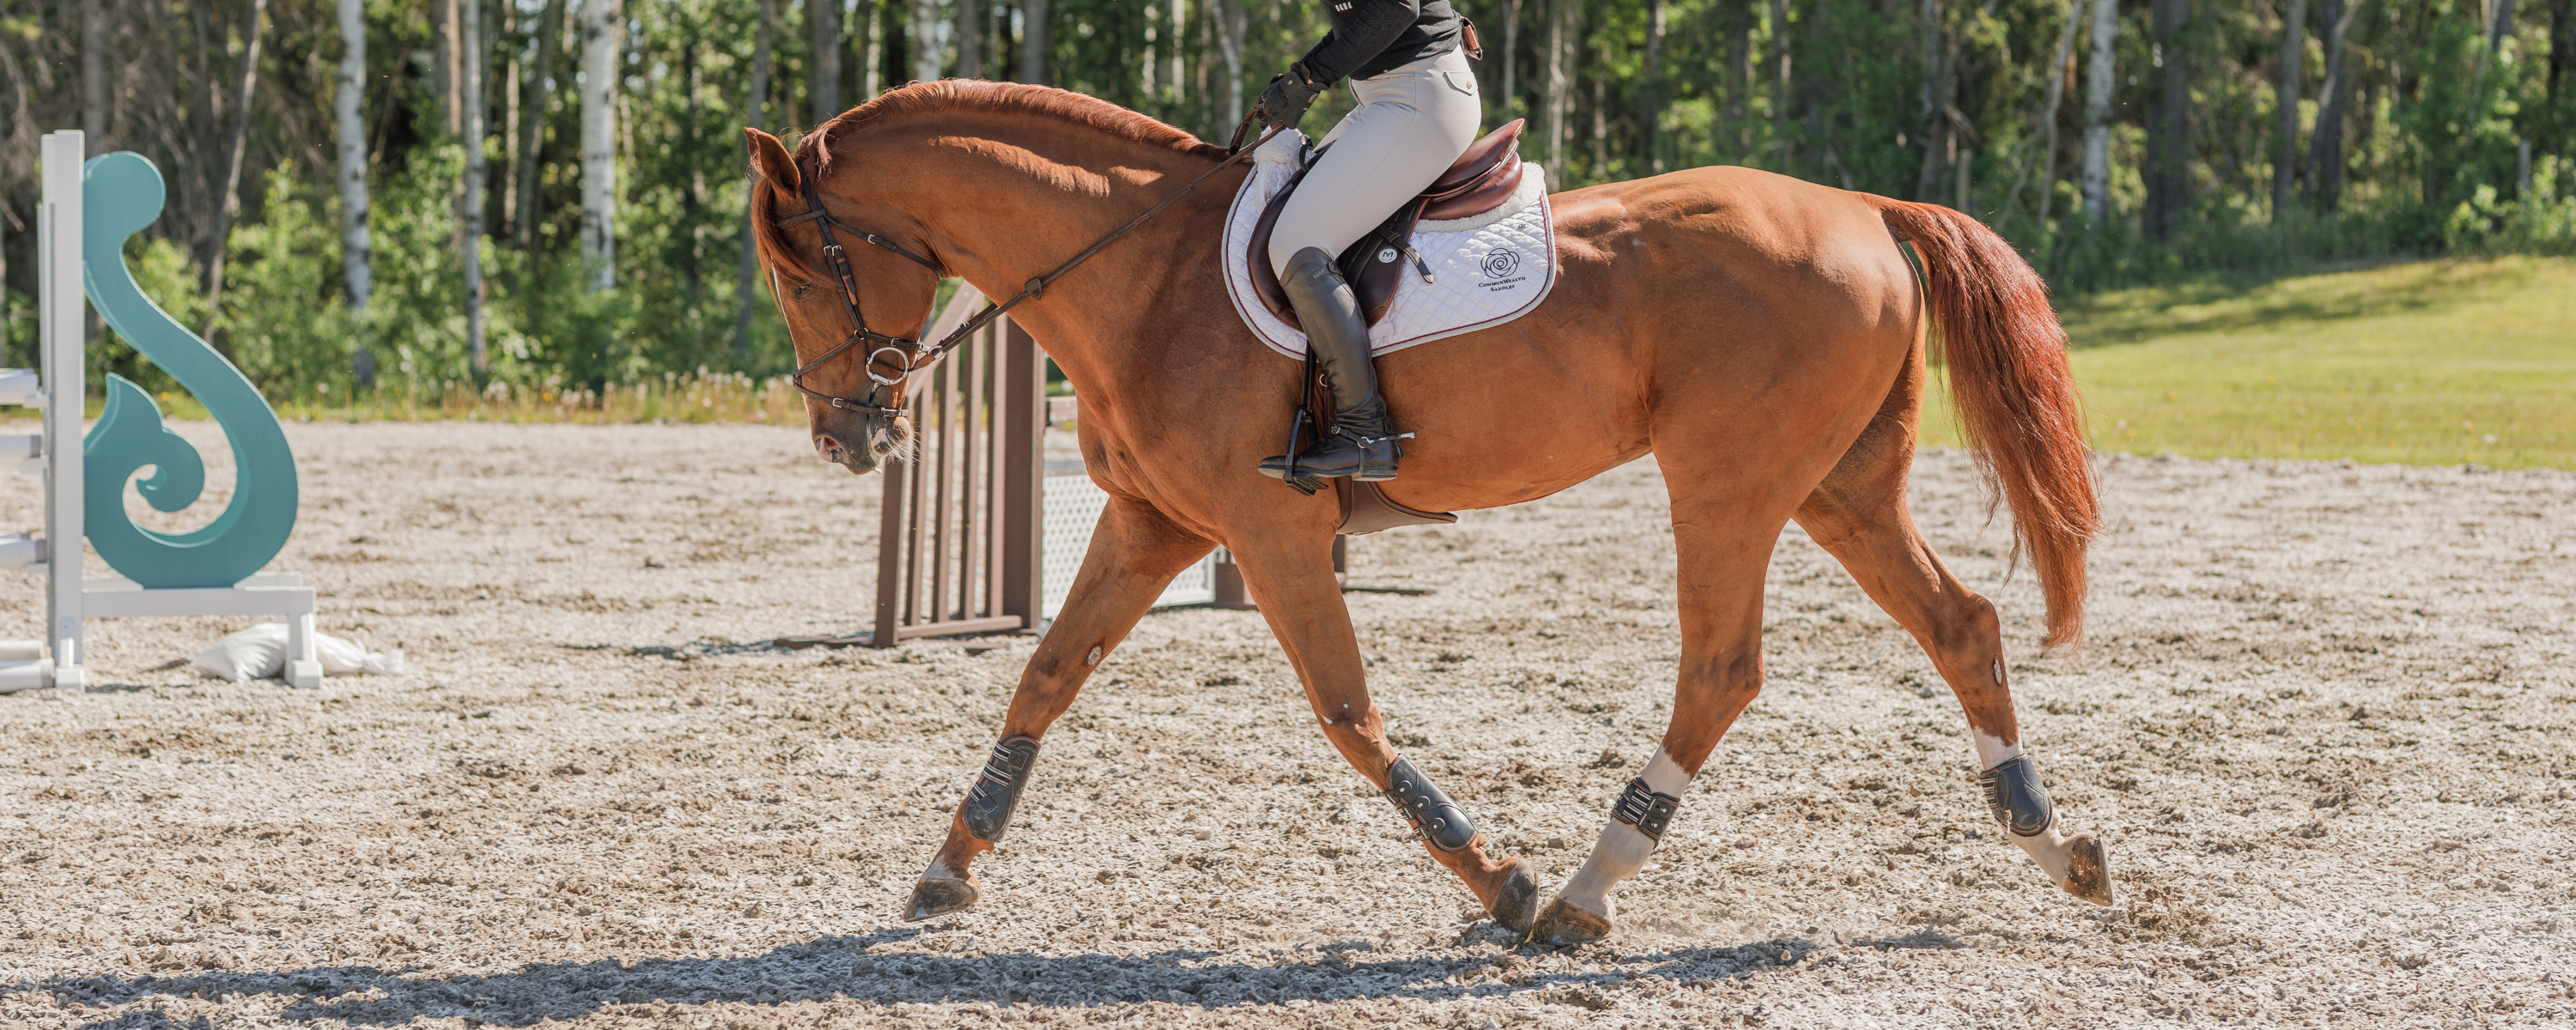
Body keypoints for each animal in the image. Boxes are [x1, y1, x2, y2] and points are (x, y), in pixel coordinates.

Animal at [743, 80, 2112, 945]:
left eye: (800, 269)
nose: (844, 436)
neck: (1140, 268)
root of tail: (1867, 209)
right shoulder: (1152, 525)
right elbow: (1043, 676)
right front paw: (947, 867)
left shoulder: (1272, 534)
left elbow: (1346, 714)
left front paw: (1495, 881)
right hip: (1839, 487)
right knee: (1962, 624)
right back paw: (2056, 846)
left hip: (1726, 481)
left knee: (1723, 668)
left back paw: (1580, 895)